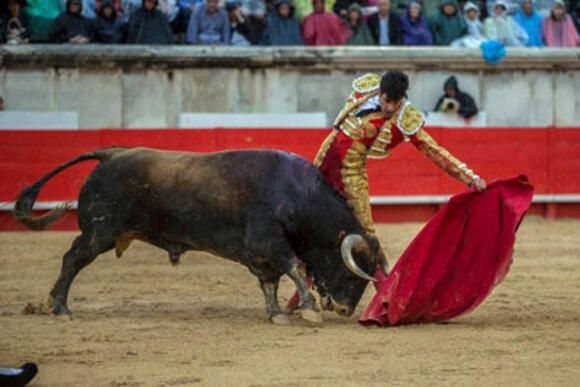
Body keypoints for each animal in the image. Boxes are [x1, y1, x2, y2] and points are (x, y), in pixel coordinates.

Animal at [14, 148, 386, 324]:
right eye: (352, 272)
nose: (345, 310)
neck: (296, 195)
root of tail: (112, 153)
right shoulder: (267, 242)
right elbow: (294, 267)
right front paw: (309, 309)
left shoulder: (262, 256)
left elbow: (270, 282)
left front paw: (277, 313)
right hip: (99, 231)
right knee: (73, 259)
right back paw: (60, 307)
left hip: (102, 232)